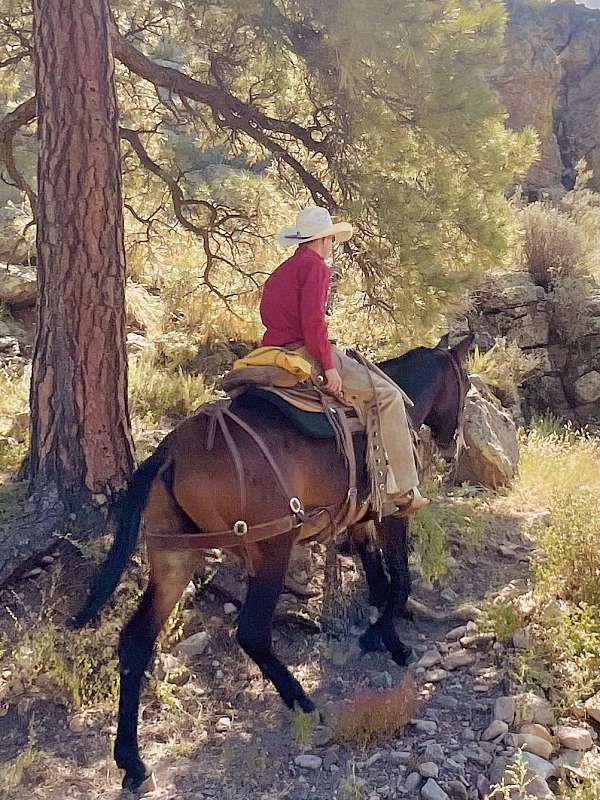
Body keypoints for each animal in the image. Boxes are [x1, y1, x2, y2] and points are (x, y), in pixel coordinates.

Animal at [72, 332, 472, 792]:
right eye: (466, 386)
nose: (453, 445)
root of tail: (170, 451)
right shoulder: (392, 512)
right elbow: (399, 582)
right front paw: (390, 642)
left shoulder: (359, 521)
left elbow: (378, 582)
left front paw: (381, 638)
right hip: (272, 548)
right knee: (251, 632)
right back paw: (300, 699)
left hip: (174, 556)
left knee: (136, 641)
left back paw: (131, 761)